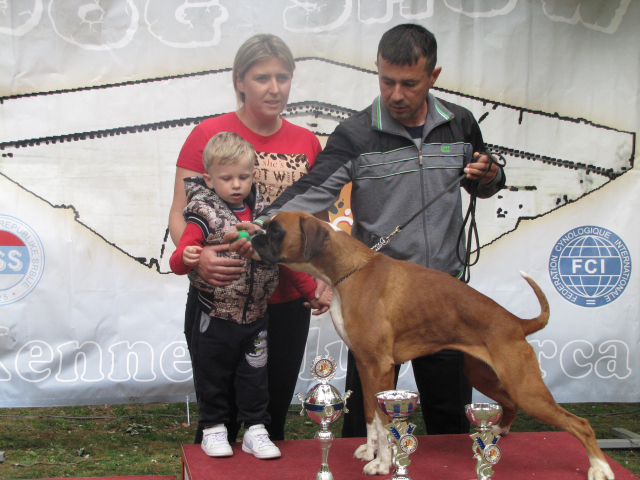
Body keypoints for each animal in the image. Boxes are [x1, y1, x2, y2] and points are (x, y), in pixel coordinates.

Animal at [246, 212, 616, 478]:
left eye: (276, 230)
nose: (254, 235)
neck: (347, 270)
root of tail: (515, 322)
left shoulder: (380, 366)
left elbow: (385, 422)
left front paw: (383, 465)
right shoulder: (365, 366)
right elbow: (371, 416)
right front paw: (371, 450)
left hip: (526, 388)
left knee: (579, 424)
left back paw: (600, 467)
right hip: (486, 376)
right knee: (509, 404)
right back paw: (497, 430)